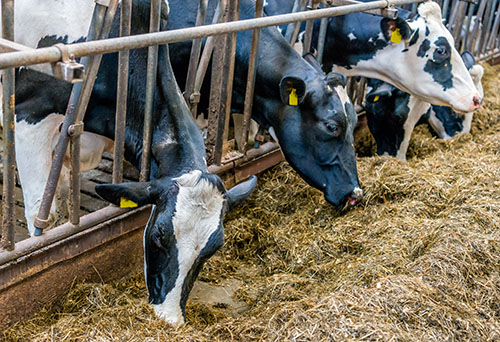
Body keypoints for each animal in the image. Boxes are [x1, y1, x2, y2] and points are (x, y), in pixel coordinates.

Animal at [12, 0, 258, 326]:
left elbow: (62, 196)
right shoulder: (30, 114)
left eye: (213, 248)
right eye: (158, 237)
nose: (170, 319)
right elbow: (43, 212)